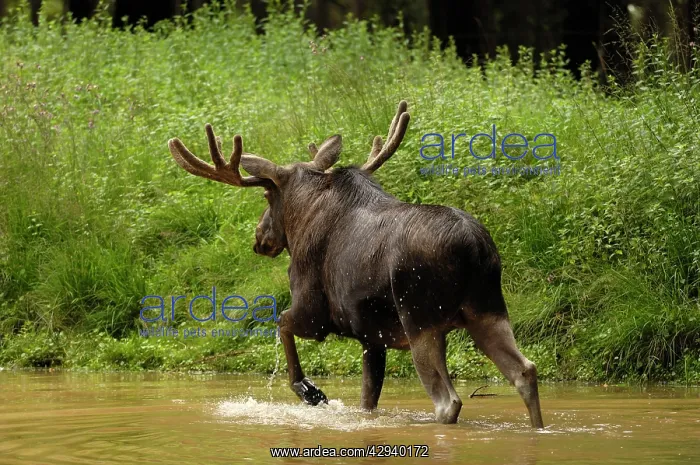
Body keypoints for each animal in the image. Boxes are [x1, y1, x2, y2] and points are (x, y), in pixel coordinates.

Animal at [167, 101, 545, 428]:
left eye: (266, 195)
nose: (260, 239)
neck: (302, 218)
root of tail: (473, 248)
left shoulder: (313, 313)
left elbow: (281, 323)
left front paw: (310, 391)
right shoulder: (372, 338)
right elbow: (368, 400)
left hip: (421, 318)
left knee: (447, 401)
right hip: (487, 309)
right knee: (525, 371)